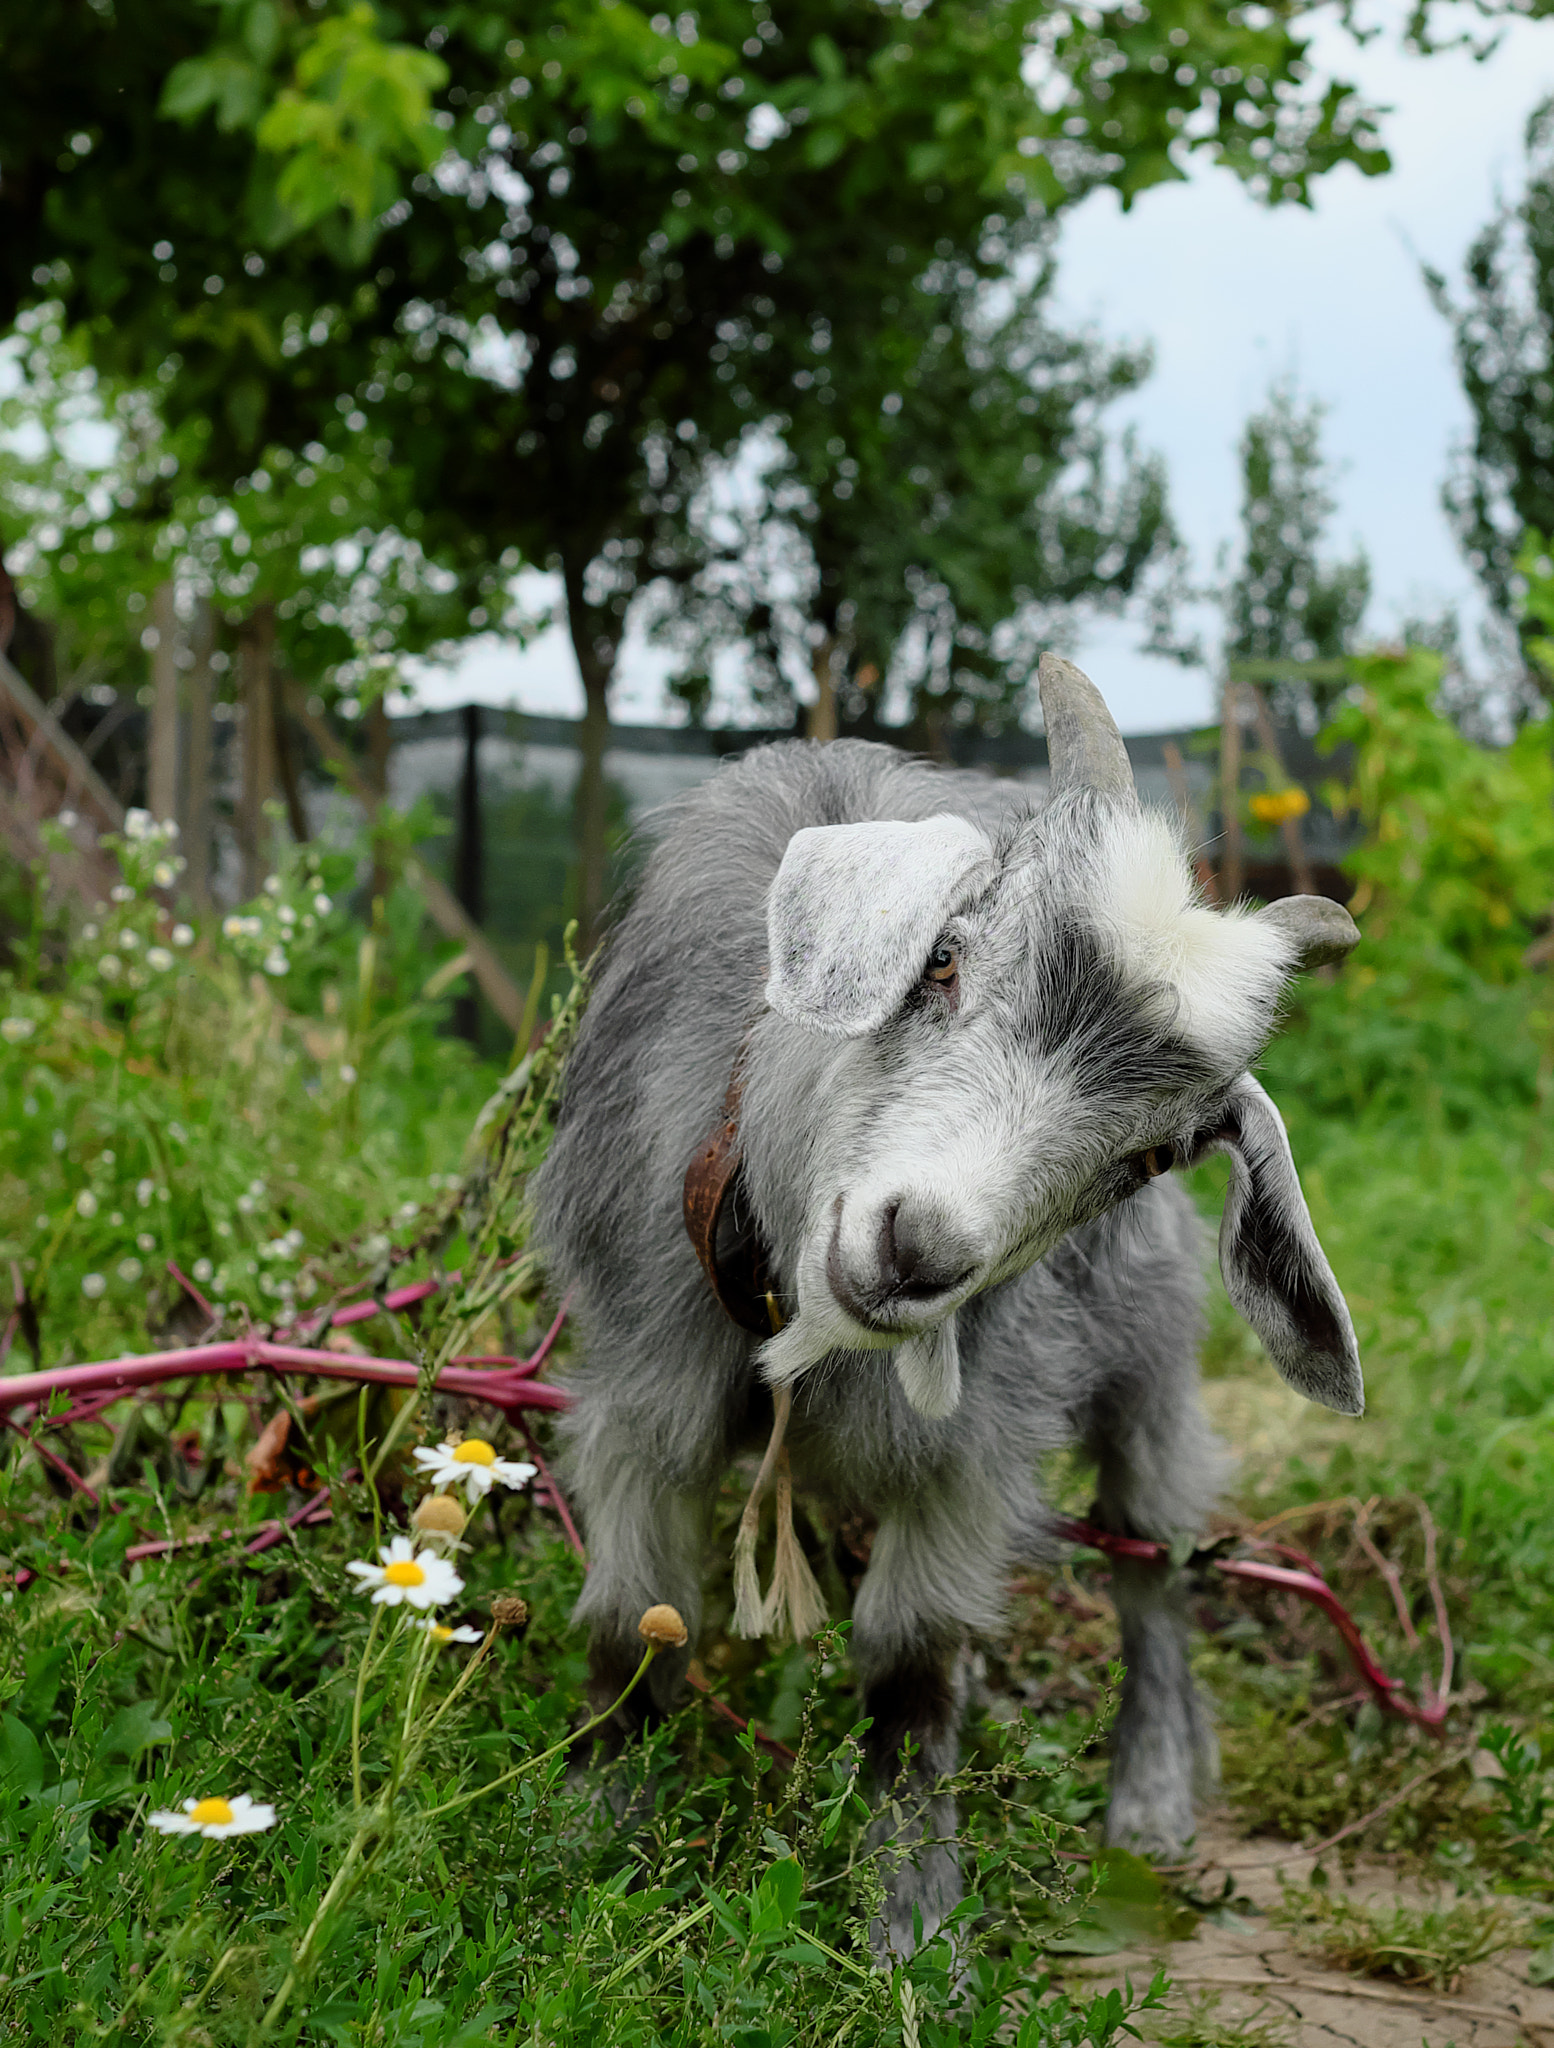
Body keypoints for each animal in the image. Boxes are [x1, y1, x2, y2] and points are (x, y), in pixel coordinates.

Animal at [536, 651, 1359, 1949]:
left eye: (1152, 1154)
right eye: (942, 961)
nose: (917, 1248)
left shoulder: (969, 1451)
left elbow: (913, 1667)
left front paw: (912, 1921)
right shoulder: (639, 1395)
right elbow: (633, 1617)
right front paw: (588, 1834)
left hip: (1152, 1367)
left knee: (1154, 1561)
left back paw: (1153, 1789)